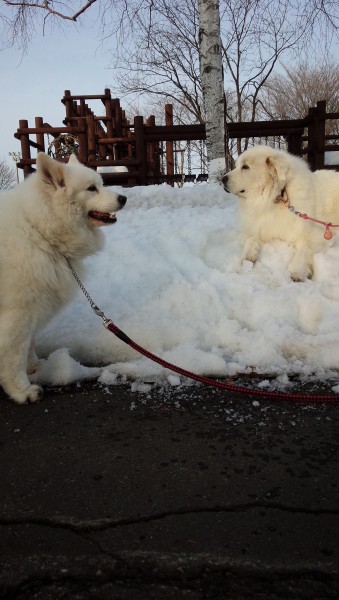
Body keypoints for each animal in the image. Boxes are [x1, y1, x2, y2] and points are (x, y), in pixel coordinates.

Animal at [0, 152, 127, 406]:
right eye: (92, 188)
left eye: (101, 183)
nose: (124, 197)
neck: (38, 230)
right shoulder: (17, 314)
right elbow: (14, 356)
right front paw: (22, 390)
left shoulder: (32, 310)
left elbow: (30, 346)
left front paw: (35, 368)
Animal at [224, 145, 339, 282]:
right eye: (237, 166)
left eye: (245, 167)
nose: (222, 179)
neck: (277, 197)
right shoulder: (261, 225)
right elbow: (252, 239)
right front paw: (246, 259)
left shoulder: (315, 233)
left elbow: (303, 250)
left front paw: (297, 272)